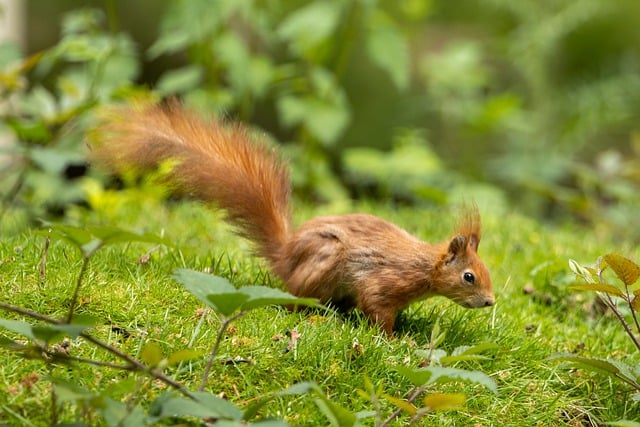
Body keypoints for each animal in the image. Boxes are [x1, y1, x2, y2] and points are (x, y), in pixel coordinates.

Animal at [87, 99, 496, 334]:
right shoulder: (384, 283)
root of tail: (285, 258)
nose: (491, 302)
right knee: (293, 302)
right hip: (323, 265)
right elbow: (378, 310)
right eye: (469, 276)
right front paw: (395, 340)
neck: (423, 266)